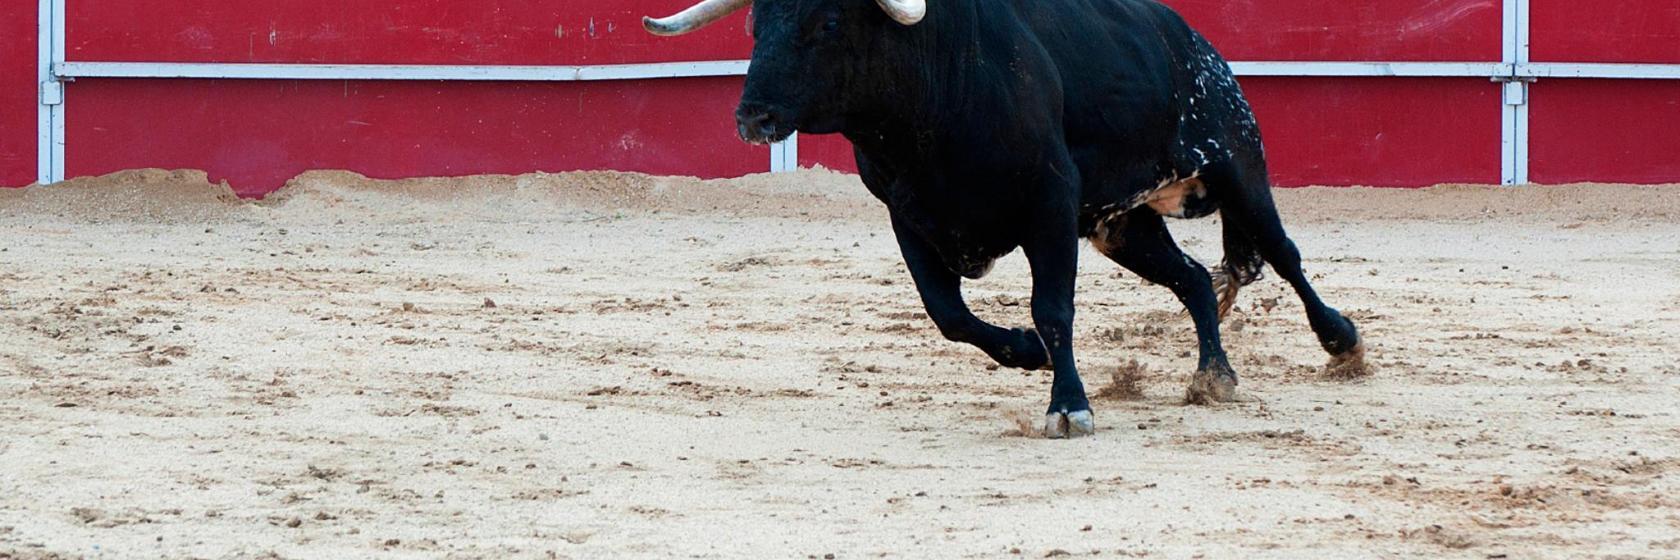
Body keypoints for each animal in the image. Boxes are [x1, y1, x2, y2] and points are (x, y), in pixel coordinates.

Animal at [643, 0, 1365, 438]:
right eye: (755, 26)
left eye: (826, 25)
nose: (752, 116)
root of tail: (1196, 43)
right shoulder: (909, 218)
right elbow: (949, 314)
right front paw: (1026, 352)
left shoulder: (1049, 206)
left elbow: (1053, 306)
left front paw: (1069, 406)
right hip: (1122, 225)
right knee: (1191, 278)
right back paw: (1213, 376)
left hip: (1238, 166)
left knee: (1284, 254)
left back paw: (1341, 342)